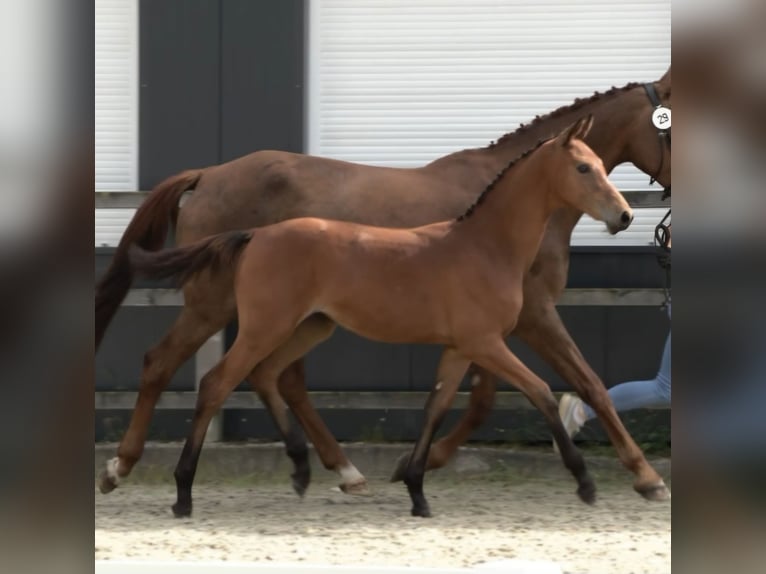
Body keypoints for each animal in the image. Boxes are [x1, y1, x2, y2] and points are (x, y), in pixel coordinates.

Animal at [132, 118, 636, 520]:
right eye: (583, 168)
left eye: (601, 163)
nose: (625, 215)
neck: (484, 245)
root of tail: (256, 235)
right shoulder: (487, 343)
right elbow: (542, 393)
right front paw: (587, 484)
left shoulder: (460, 348)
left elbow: (436, 408)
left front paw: (417, 491)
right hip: (260, 327)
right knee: (215, 383)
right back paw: (180, 492)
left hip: (307, 326)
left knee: (268, 375)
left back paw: (305, 470)